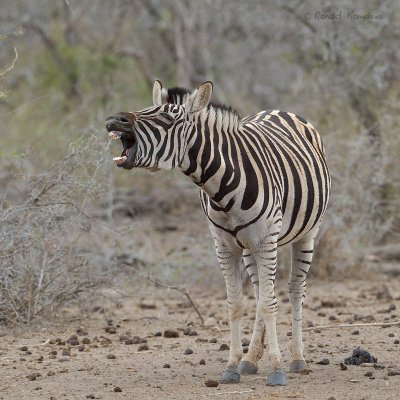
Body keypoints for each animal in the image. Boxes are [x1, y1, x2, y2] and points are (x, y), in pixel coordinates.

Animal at [105, 80, 332, 384]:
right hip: (247, 246)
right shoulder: (224, 246)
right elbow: (236, 304)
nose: (113, 119)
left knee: (295, 290)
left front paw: (276, 369)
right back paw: (251, 358)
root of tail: (279, 110)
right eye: (146, 107)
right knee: (260, 291)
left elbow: (269, 304)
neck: (222, 190)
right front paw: (233, 365)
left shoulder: (265, 241)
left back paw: (297, 358)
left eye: (169, 117)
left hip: (307, 234)